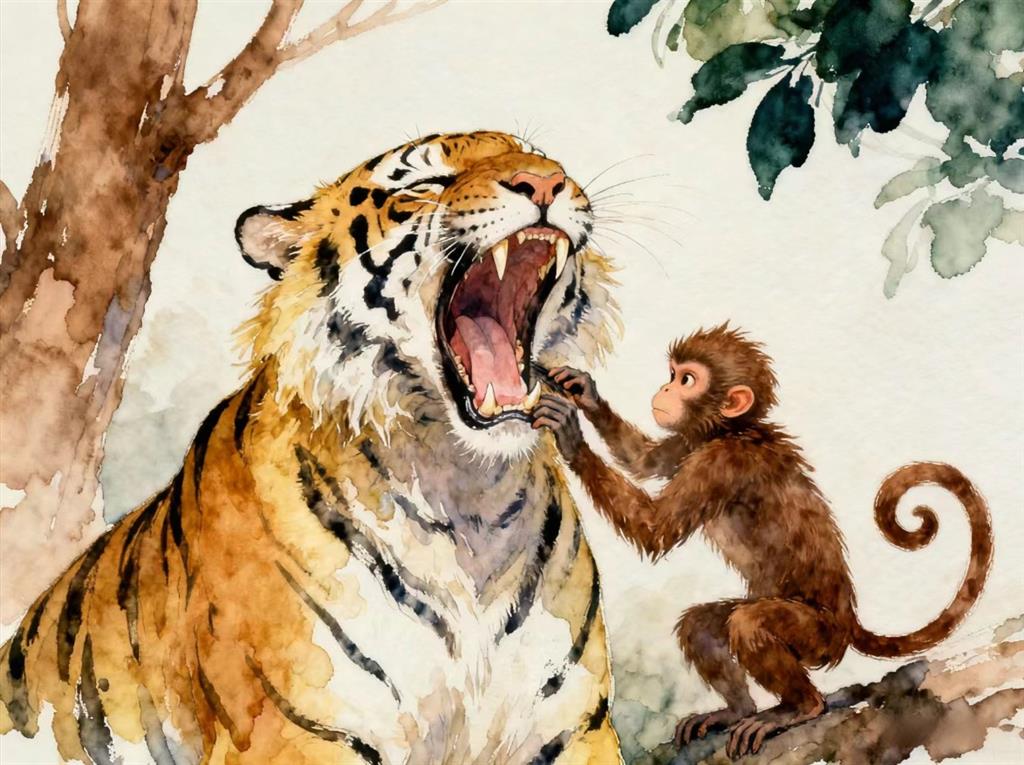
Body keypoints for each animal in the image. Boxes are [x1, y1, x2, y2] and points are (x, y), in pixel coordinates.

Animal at [0, 131, 624, 764]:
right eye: (425, 183)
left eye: (542, 159)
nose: (544, 181)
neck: (468, 495)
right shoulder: (296, 731)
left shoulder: (576, 730)